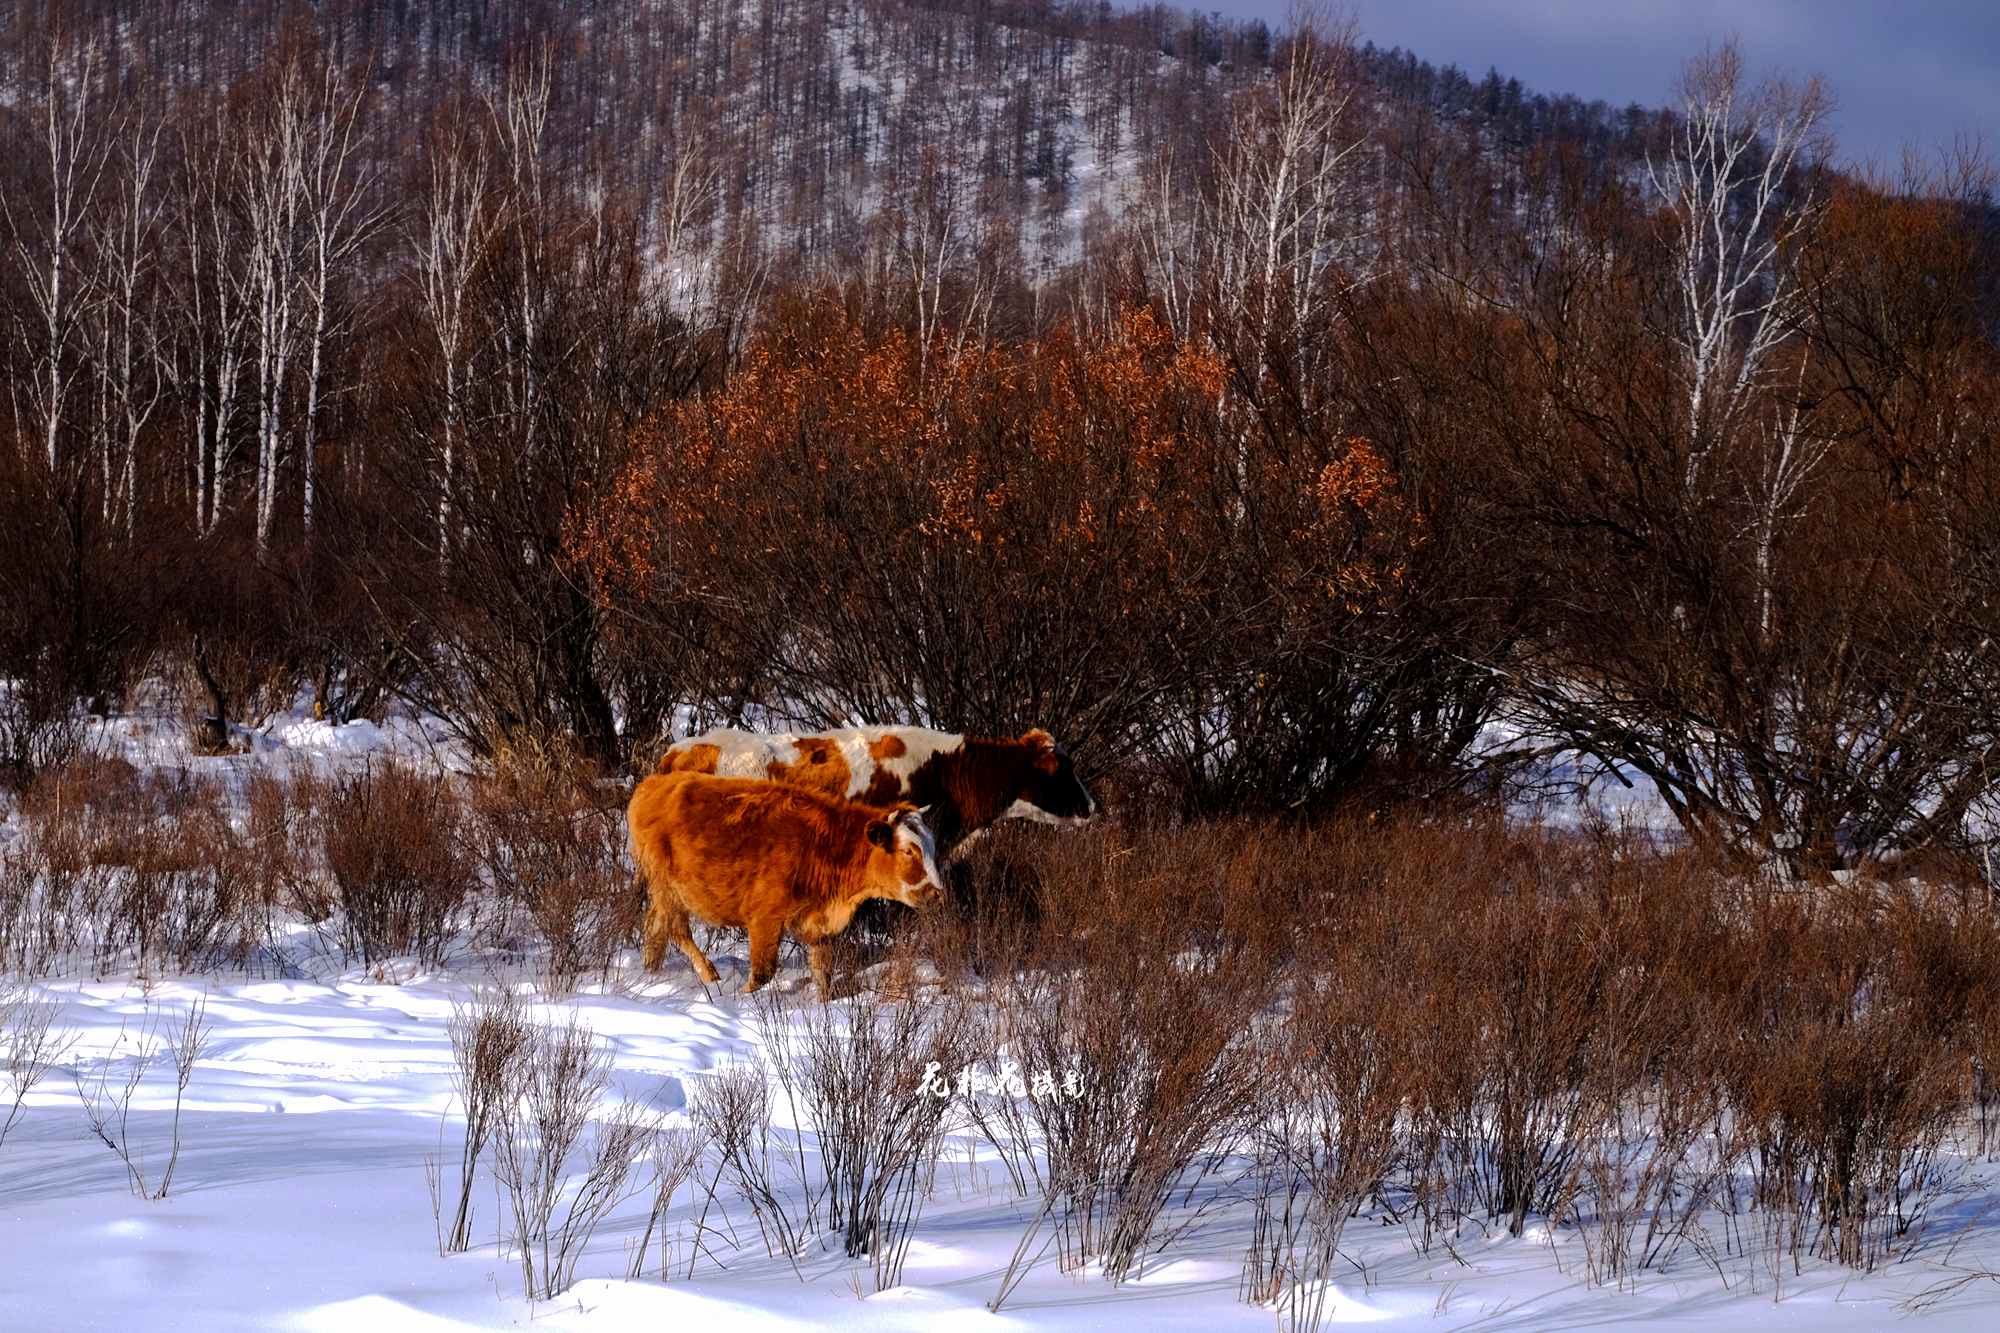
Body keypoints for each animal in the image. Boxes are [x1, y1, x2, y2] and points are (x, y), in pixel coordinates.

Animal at [624, 768, 944, 996]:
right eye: (908, 850)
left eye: (932, 847)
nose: (937, 895)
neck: (825, 845)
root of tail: (651, 784)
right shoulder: (765, 917)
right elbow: (762, 973)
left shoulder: (820, 926)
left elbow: (823, 975)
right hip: (667, 886)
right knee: (675, 928)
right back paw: (707, 973)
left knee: (654, 924)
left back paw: (652, 973)